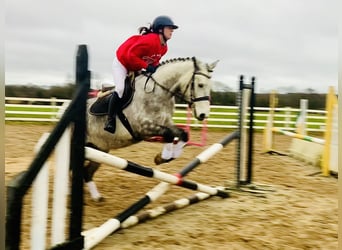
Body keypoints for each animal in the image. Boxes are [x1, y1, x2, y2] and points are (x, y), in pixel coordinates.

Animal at [84, 57, 218, 201]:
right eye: (200, 85)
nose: (203, 115)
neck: (159, 93)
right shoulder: (143, 128)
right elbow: (169, 134)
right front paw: (163, 157)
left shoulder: (166, 123)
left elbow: (182, 134)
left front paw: (163, 158)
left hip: (100, 149)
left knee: (88, 173)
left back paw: (97, 197)